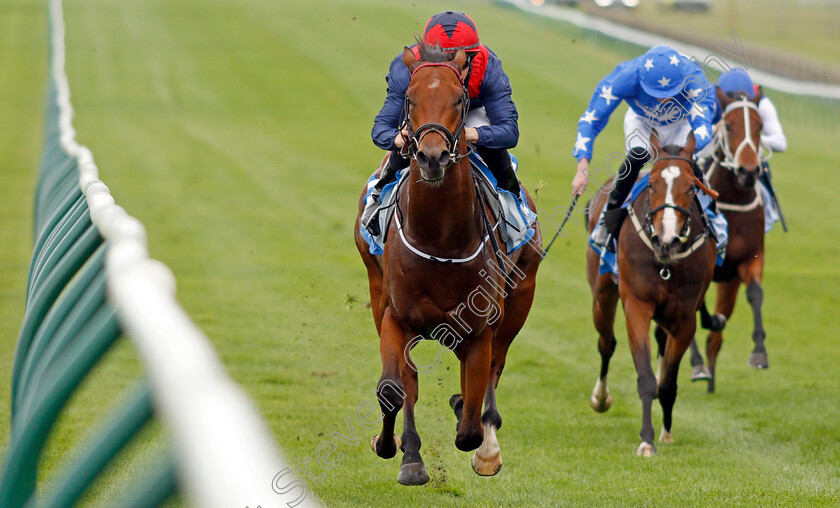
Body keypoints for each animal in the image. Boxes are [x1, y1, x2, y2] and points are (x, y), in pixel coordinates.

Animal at [352, 43, 540, 484]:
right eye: (409, 98)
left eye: (459, 99)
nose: (432, 156)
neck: (440, 239)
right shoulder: (396, 317)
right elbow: (394, 388)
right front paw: (396, 450)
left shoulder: (481, 329)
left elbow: (470, 424)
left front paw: (479, 442)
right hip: (376, 288)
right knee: (412, 383)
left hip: (519, 299)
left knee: (493, 372)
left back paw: (486, 445)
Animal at [584, 131, 716, 456]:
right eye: (653, 183)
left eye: (692, 186)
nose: (666, 240)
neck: (665, 263)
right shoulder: (637, 306)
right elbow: (646, 378)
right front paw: (646, 441)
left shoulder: (685, 318)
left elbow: (667, 383)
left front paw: (666, 433)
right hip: (602, 296)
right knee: (606, 344)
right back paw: (601, 397)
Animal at [688, 88, 768, 392]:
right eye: (729, 126)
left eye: (760, 126)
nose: (748, 171)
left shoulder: (748, 260)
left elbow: (756, 293)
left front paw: (759, 353)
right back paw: (699, 366)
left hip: (727, 285)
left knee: (715, 337)